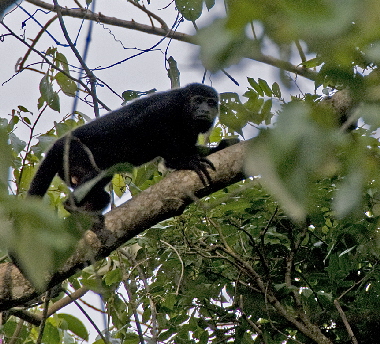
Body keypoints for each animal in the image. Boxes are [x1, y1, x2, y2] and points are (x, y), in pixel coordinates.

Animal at [29, 83, 223, 212]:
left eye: (211, 103)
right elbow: (146, 125)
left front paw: (221, 146)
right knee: (97, 173)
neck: (184, 111)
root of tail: (58, 144)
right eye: (198, 101)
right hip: (76, 153)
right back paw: (72, 205)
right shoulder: (167, 106)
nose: (205, 110)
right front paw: (186, 162)